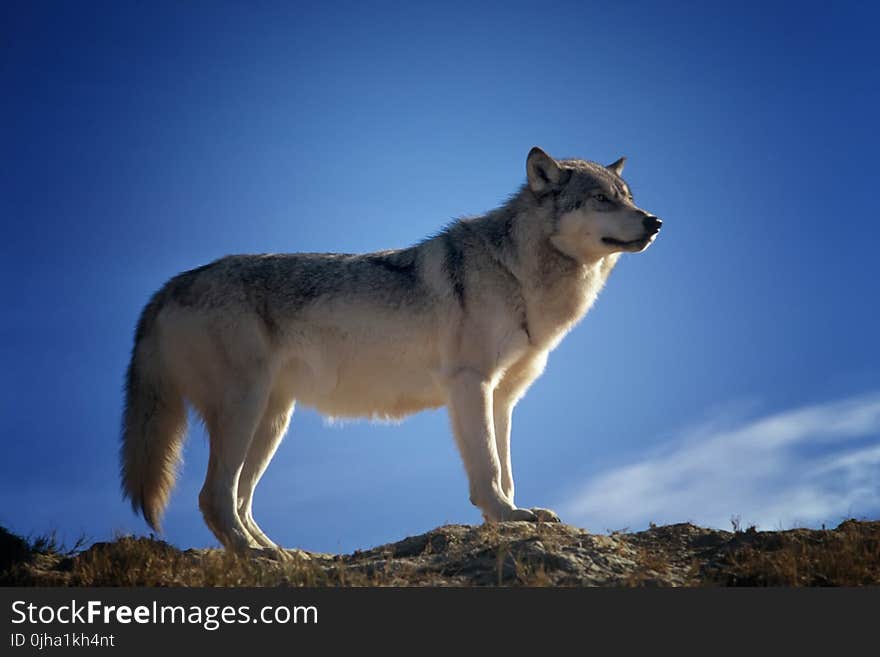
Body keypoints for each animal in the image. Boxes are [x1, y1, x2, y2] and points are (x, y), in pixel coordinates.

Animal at [120, 146, 664, 552]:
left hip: (272, 421)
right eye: (601, 199)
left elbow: (506, 469)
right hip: (245, 411)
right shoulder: (470, 385)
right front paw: (506, 517)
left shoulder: (503, 397)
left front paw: (511, 516)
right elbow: (488, 468)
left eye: (627, 198)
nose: (655, 221)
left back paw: (284, 555)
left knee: (239, 499)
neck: (516, 272)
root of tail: (167, 287)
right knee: (213, 497)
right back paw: (257, 557)